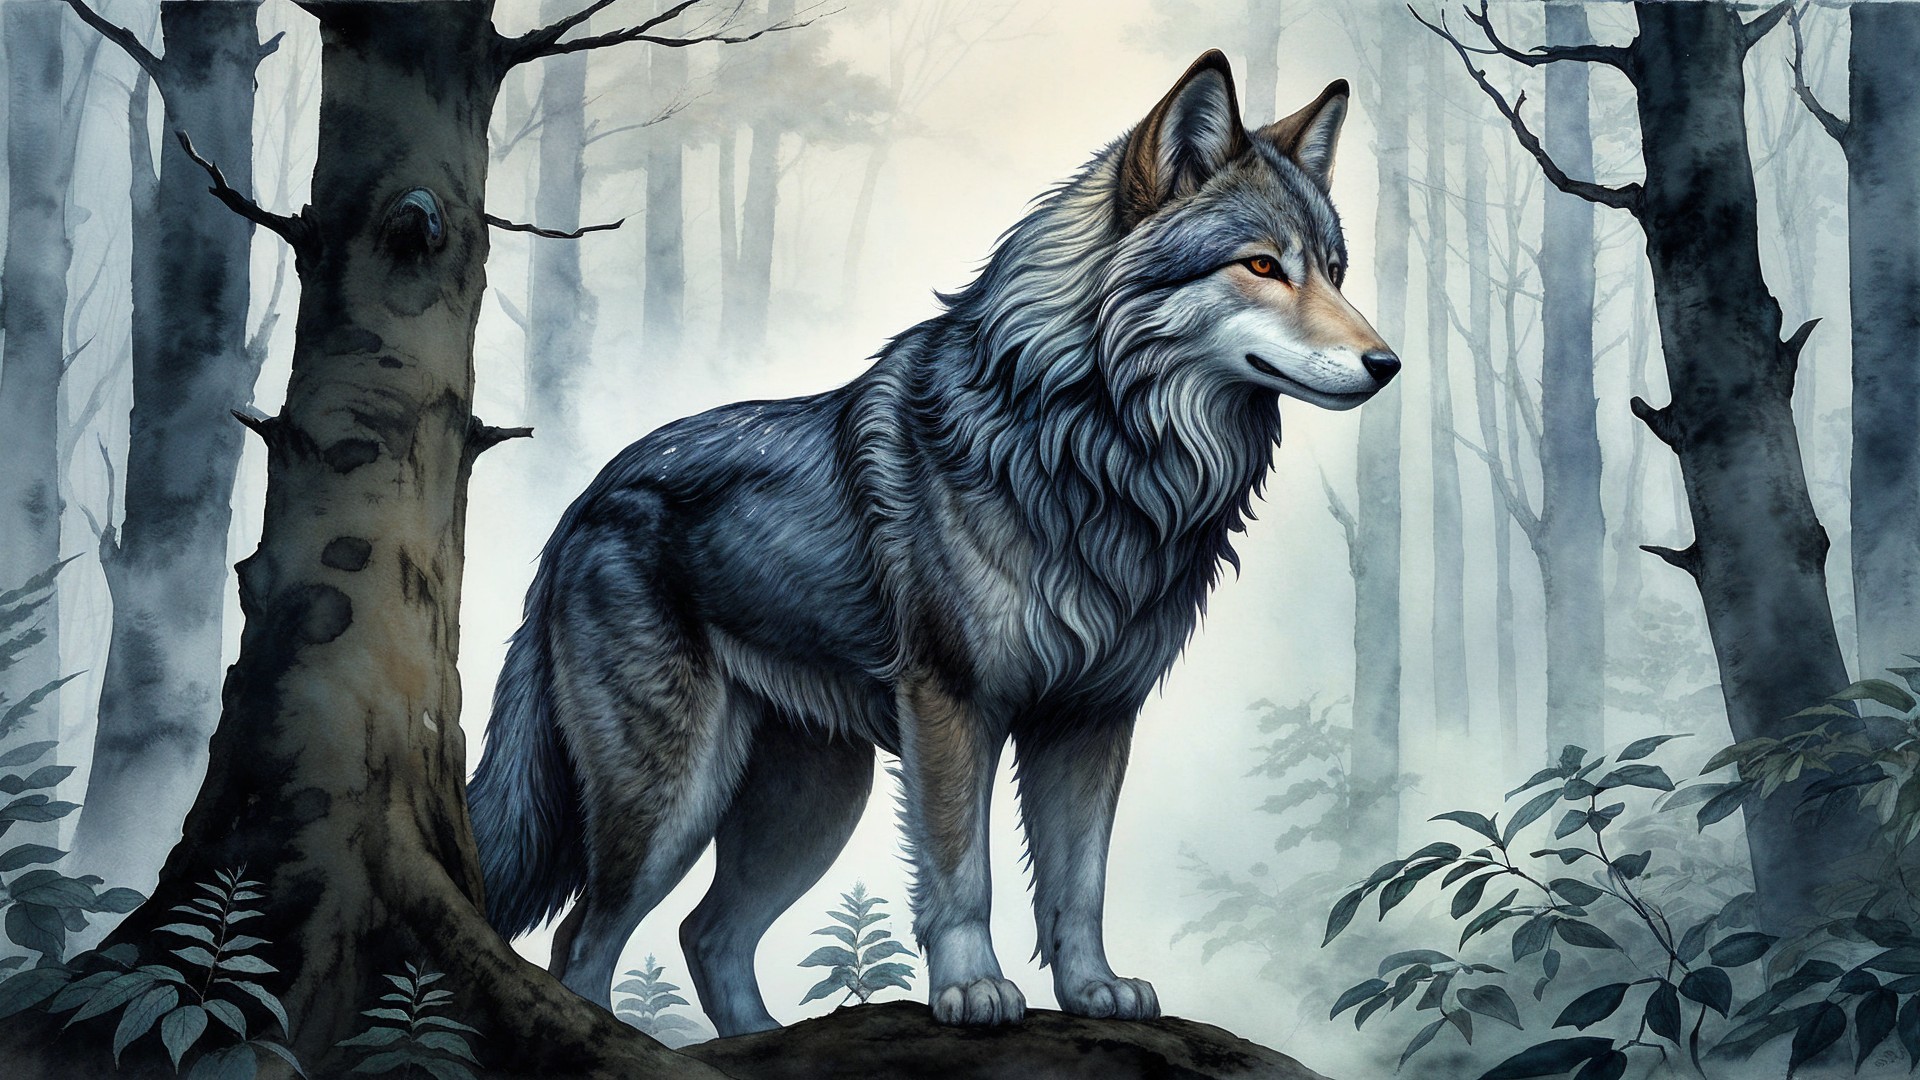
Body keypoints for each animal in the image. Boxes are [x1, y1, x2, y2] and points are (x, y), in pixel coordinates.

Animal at [467, 50, 1399, 1035]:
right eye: (1263, 265)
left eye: (1336, 271)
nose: (1389, 365)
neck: (1092, 453)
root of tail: (584, 500)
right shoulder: (954, 708)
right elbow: (963, 875)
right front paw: (972, 989)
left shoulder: (1091, 718)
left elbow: (1079, 884)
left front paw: (1094, 991)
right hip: (673, 800)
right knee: (583, 940)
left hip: (811, 806)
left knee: (705, 935)